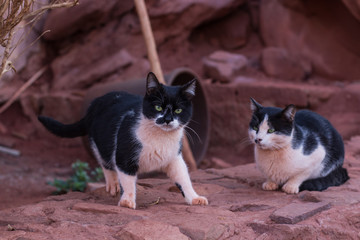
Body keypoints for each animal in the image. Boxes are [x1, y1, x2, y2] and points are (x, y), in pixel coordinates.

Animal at [38, 72, 208, 209]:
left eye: (178, 110)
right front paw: (127, 201)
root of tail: (94, 103)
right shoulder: (124, 156)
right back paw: (113, 184)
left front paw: (195, 197)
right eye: (158, 107)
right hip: (100, 143)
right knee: (105, 162)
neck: (160, 137)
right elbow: (127, 179)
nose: (167, 120)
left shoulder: (174, 157)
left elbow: (183, 177)